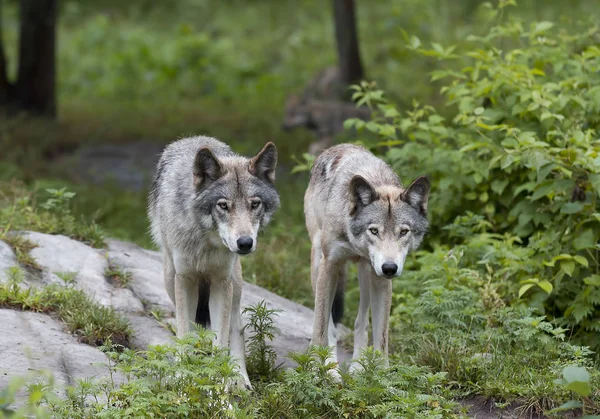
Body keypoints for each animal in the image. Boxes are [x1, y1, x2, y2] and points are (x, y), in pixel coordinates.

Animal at [150, 136, 282, 388]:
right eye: (223, 205)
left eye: (255, 204)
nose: (245, 243)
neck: (206, 243)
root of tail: (196, 138)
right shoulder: (185, 280)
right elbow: (185, 334)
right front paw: (182, 378)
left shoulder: (222, 281)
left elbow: (221, 342)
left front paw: (220, 388)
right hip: (169, 277)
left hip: (235, 283)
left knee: (236, 329)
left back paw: (240, 379)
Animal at [308, 144, 428, 370]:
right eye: (373, 230)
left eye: (403, 232)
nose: (389, 268)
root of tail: (339, 146)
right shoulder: (329, 266)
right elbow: (321, 328)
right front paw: (323, 370)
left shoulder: (381, 280)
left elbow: (381, 338)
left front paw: (381, 375)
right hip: (318, 262)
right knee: (329, 324)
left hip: (365, 272)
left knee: (361, 321)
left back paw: (356, 367)